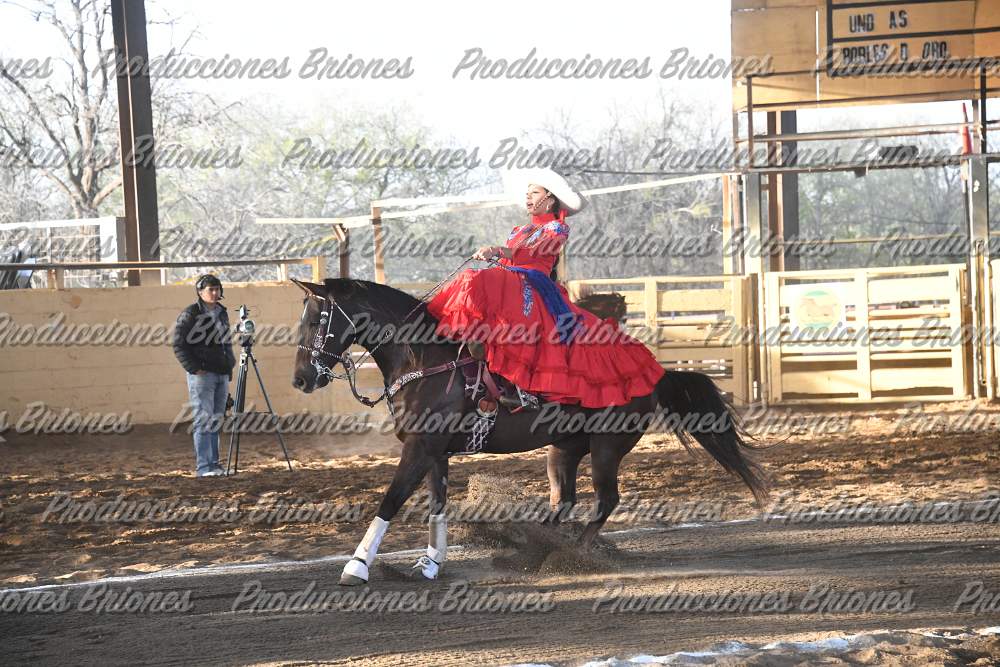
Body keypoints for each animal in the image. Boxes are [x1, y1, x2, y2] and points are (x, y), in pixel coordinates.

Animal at [290, 278, 769, 585]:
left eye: (316, 321)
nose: (300, 379)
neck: (426, 359)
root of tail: (656, 372)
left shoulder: (421, 449)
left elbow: (390, 501)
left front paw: (356, 567)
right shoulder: (435, 452)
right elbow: (437, 507)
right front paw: (429, 565)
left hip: (607, 447)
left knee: (606, 499)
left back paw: (571, 554)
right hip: (563, 450)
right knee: (564, 499)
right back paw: (532, 549)